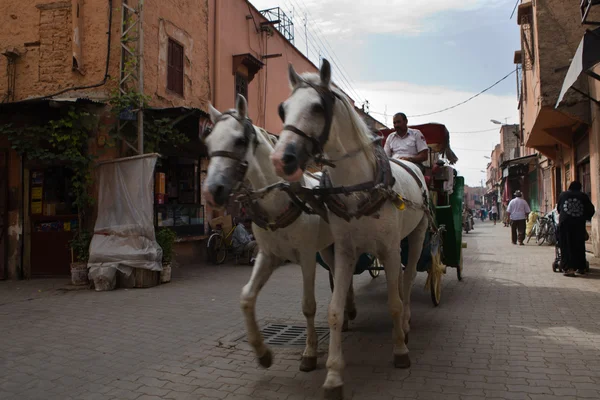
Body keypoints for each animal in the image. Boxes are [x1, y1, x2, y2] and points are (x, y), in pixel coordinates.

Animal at [202, 95, 354, 374]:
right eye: (208, 142)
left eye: (239, 141)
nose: (211, 191)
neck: (280, 200)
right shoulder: (268, 255)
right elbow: (246, 297)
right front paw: (262, 353)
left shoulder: (306, 257)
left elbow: (308, 305)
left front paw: (309, 353)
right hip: (327, 248)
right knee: (339, 274)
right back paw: (349, 311)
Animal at [270, 60, 428, 400]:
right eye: (282, 109)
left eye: (317, 107)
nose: (281, 159)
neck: (358, 185)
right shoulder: (343, 251)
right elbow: (333, 309)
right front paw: (332, 376)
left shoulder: (390, 250)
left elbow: (394, 303)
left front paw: (400, 350)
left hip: (417, 235)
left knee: (408, 280)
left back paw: (408, 322)